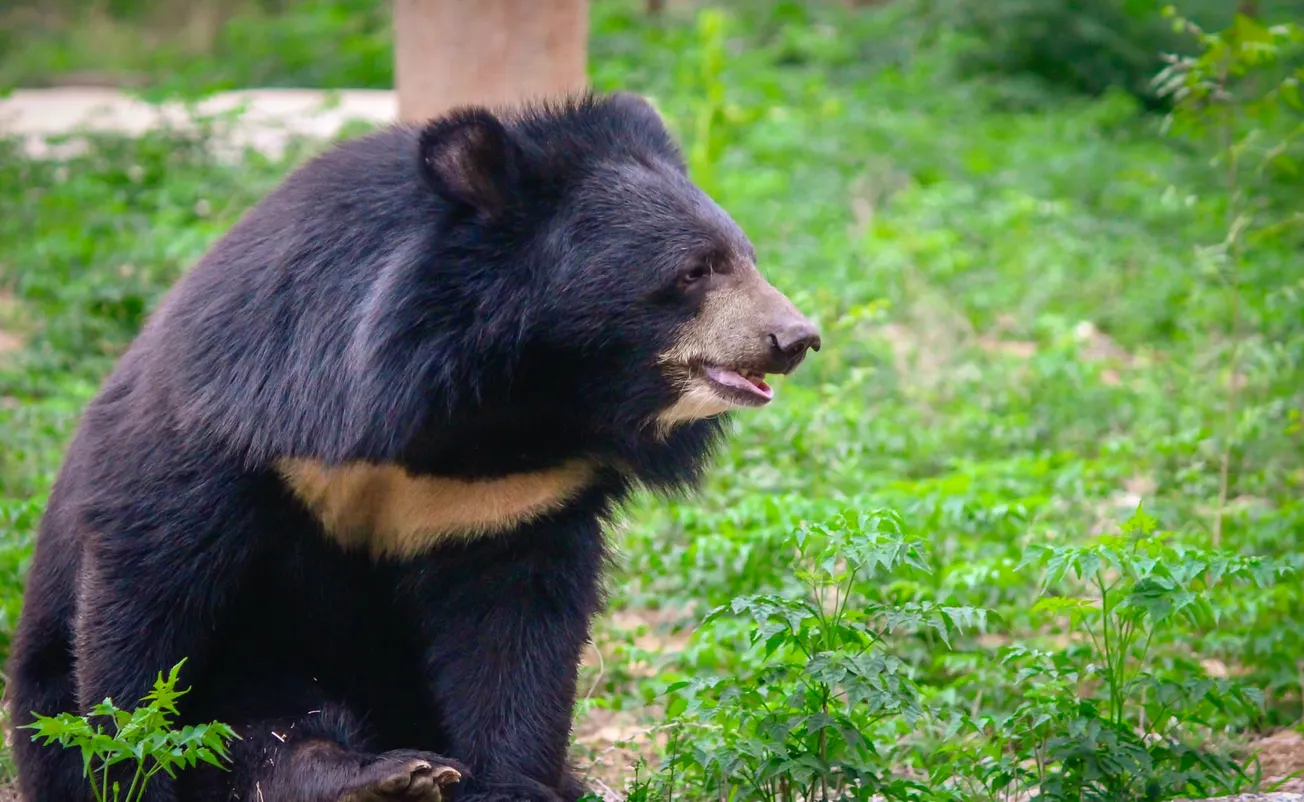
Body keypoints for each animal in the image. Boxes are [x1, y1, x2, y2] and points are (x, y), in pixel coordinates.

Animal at [5, 91, 821, 802]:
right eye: (695, 271)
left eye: (746, 256)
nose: (796, 338)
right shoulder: (241, 419)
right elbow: (150, 588)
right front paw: (126, 768)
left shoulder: (517, 495)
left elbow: (514, 634)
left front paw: (509, 786)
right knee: (264, 731)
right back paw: (374, 778)